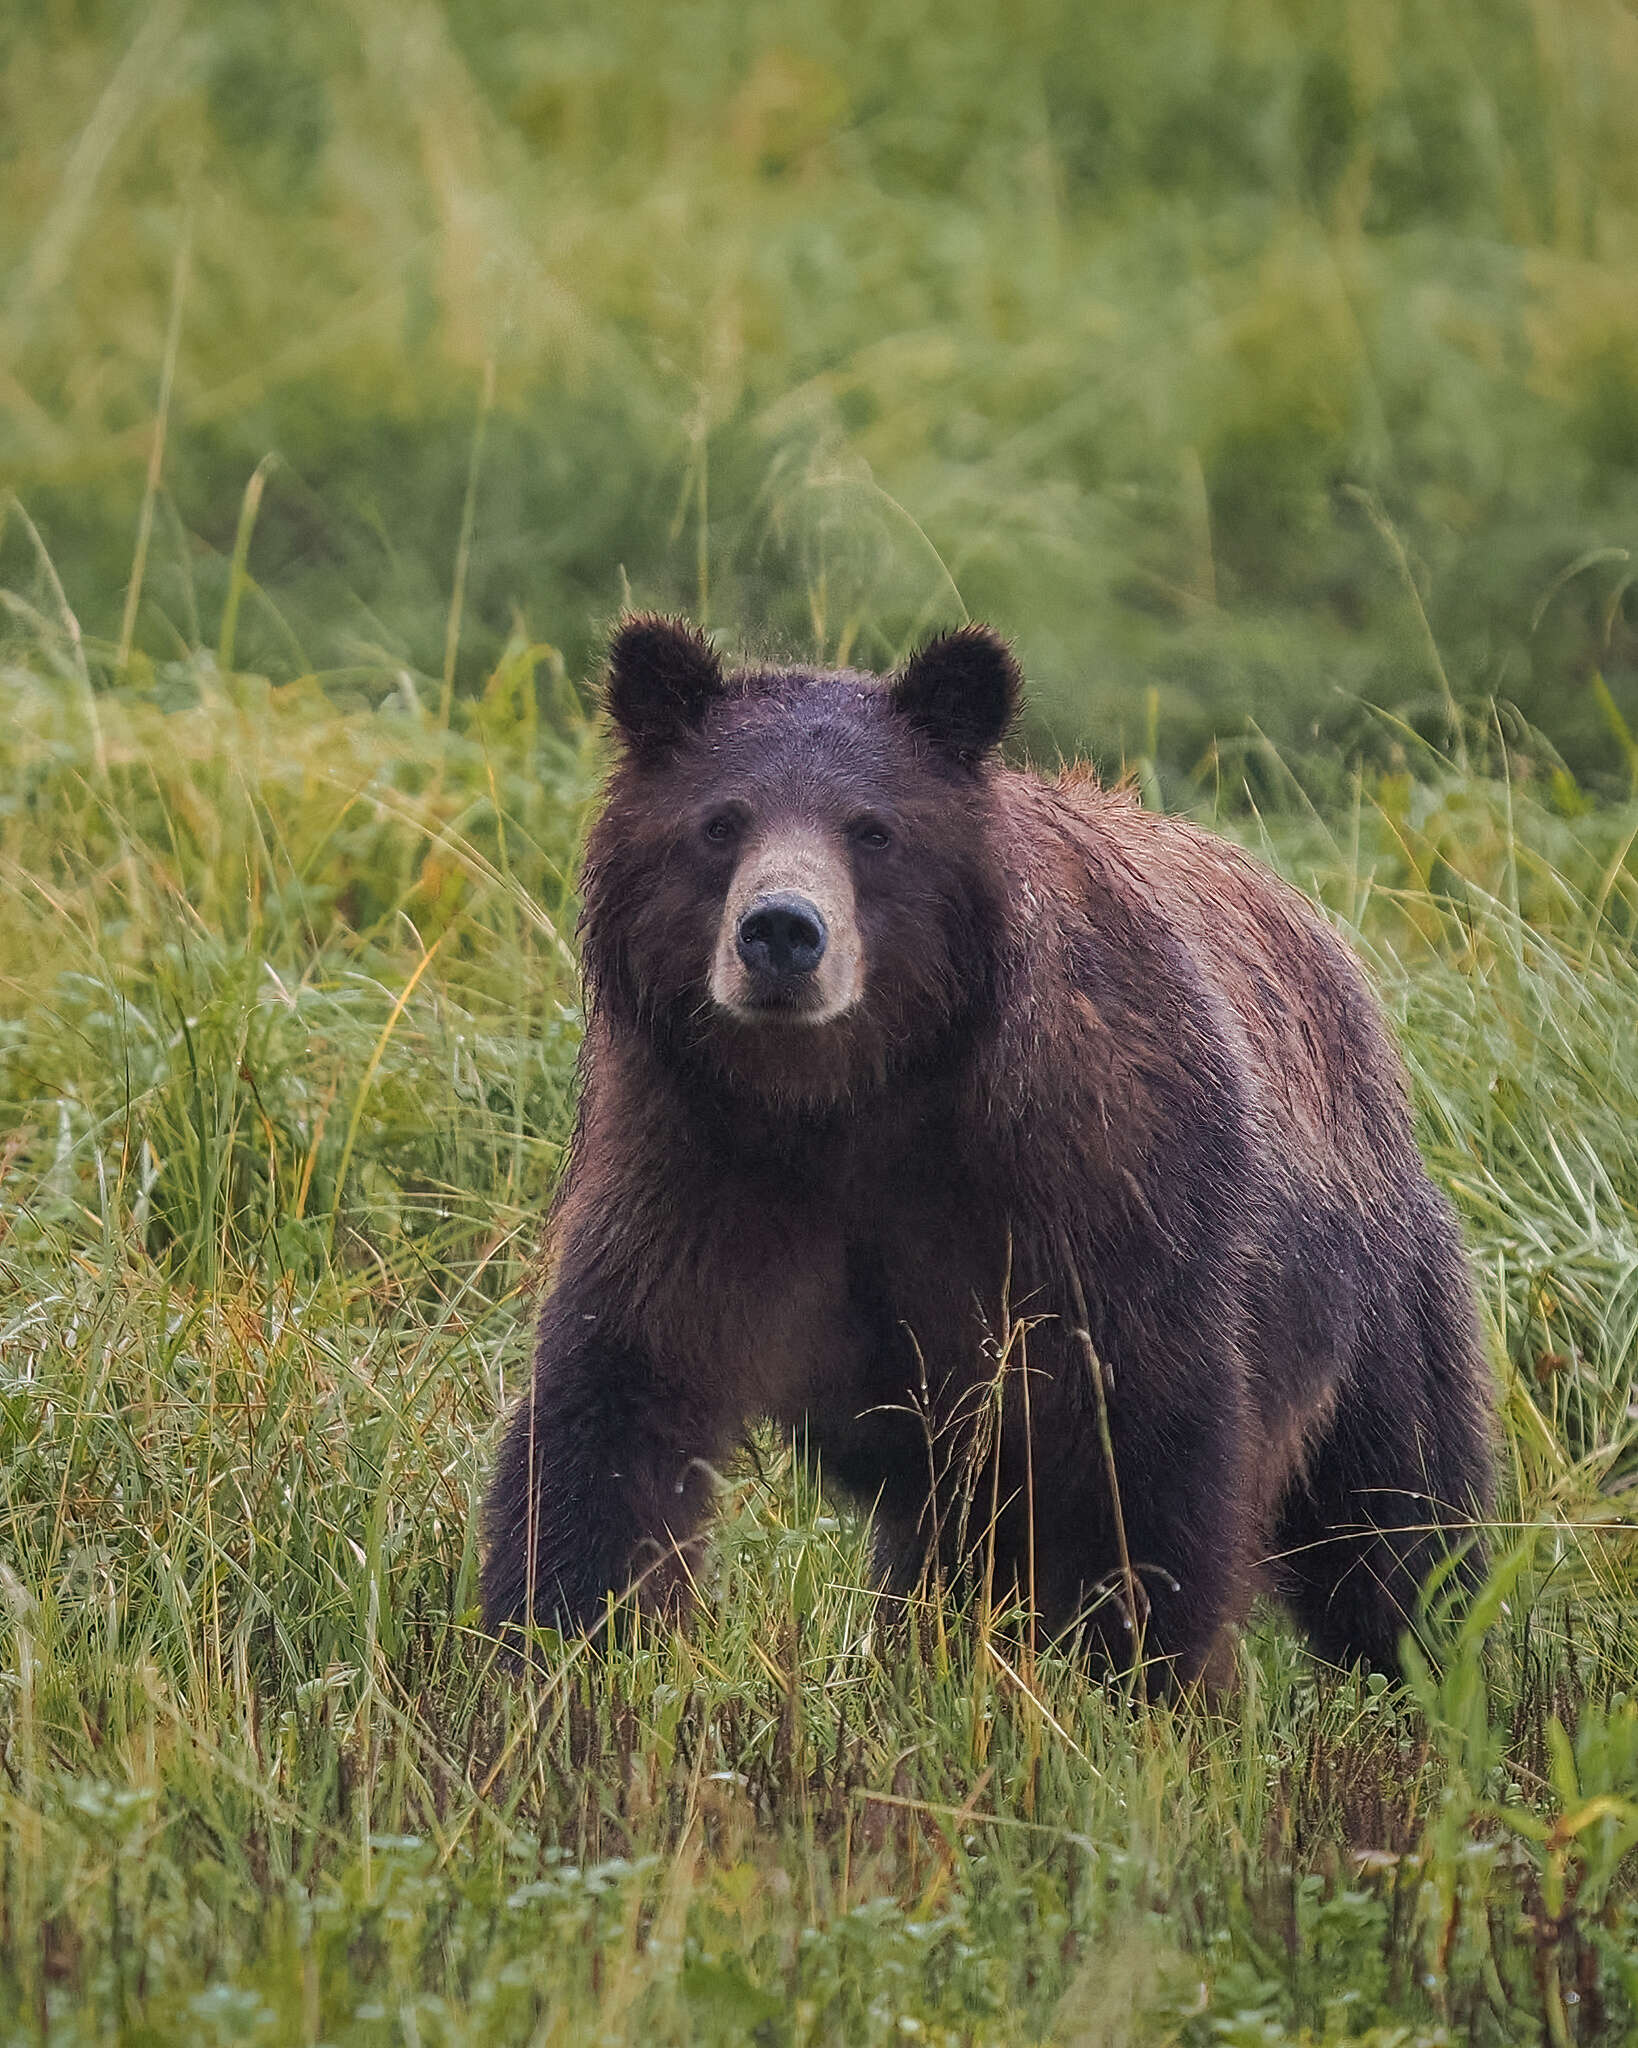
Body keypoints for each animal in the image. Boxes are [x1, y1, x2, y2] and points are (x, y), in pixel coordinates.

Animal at [477, 614, 1498, 1687]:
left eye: (874, 828)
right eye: (720, 821)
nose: (782, 931)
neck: (854, 1099)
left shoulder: (1093, 1186)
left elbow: (1148, 1457)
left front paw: (1144, 1673)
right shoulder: (701, 1170)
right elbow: (616, 1406)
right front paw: (559, 1642)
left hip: (1375, 1292)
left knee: (1395, 1513)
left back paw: (1429, 1663)